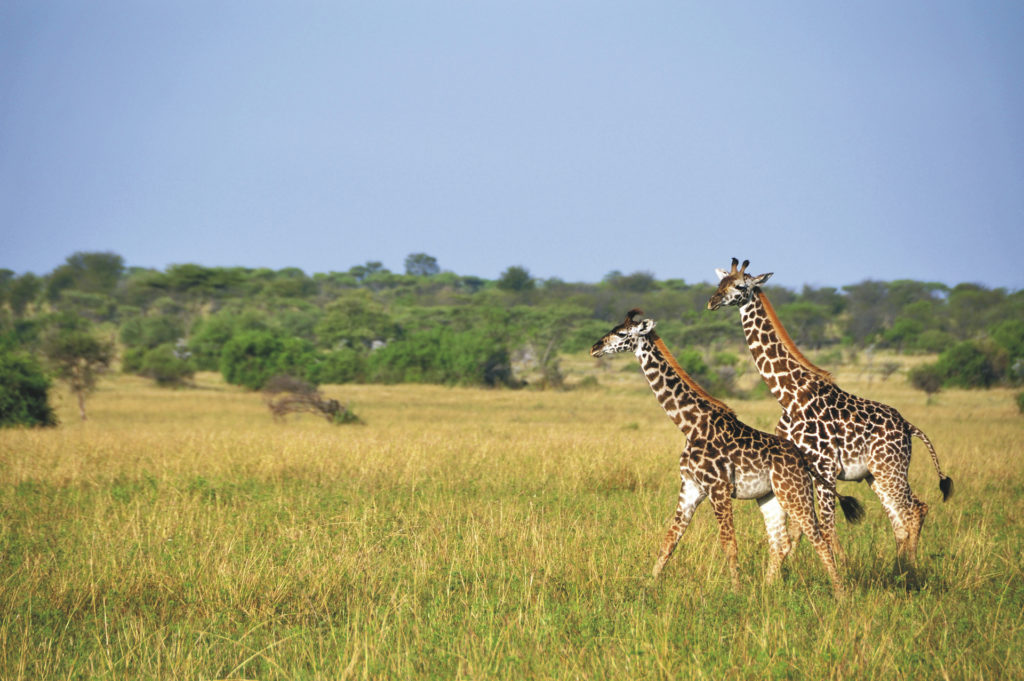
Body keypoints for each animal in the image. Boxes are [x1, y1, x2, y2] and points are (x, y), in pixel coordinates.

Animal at [589, 311, 860, 593]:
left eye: (622, 334)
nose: (594, 347)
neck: (691, 426)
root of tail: (803, 459)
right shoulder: (690, 487)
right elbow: (669, 540)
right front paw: (649, 584)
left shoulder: (718, 488)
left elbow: (728, 544)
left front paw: (736, 591)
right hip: (770, 497)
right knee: (781, 542)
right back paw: (768, 588)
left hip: (794, 492)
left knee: (818, 537)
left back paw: (840, 592)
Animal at [704, 258, 950, 565]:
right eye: (719, 283)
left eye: (739, 286)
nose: (712, 302)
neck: (789, 396)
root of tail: (908, 426)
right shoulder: (800, 467)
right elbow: (798, 530)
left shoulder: (826, 466)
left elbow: (826, 528)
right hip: (875, 474)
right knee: (900, 522)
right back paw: (900, 569)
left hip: (890, 468)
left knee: (915, 510)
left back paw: (911, 571)